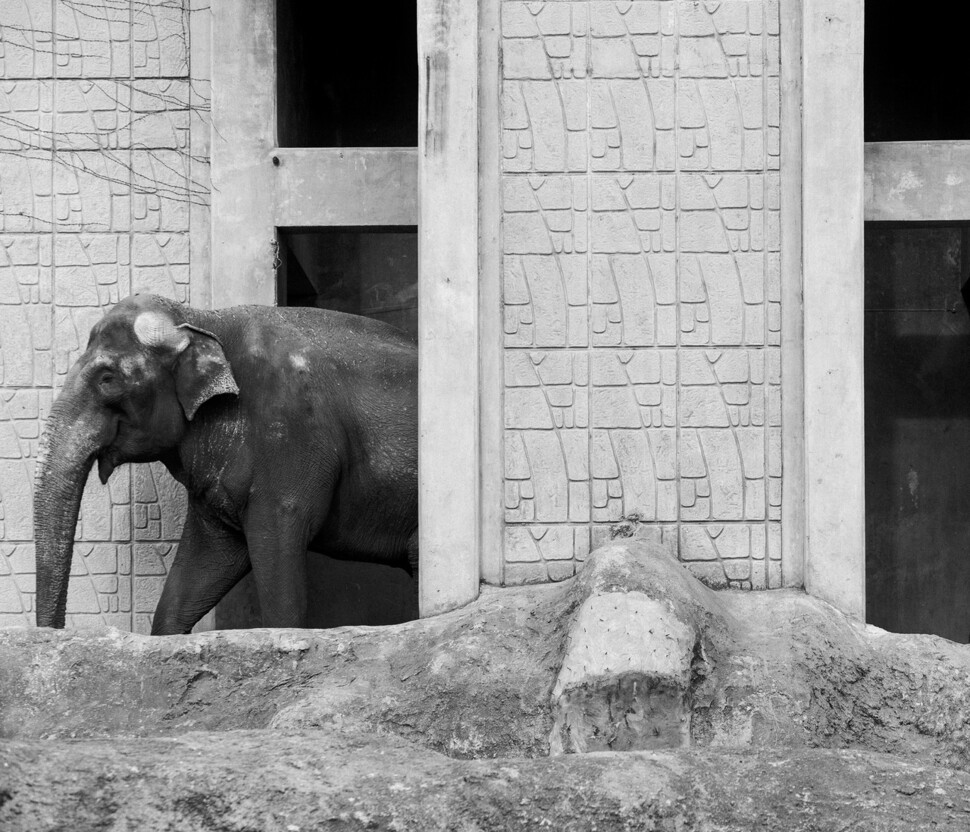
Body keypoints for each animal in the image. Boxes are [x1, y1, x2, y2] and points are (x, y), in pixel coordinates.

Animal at [32, 292, 418, 632]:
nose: (55, 634)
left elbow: (278, 551)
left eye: (107, 379)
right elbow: (200, 569)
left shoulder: (290, 434)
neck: (203, 318)